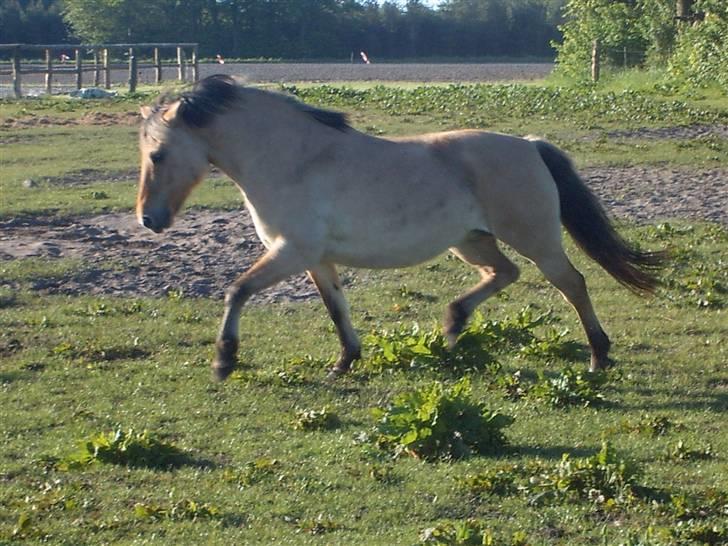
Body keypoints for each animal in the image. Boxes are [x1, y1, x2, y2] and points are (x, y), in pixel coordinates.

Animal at [136, 74, 663, 381]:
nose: (148, 219)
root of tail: (530, 145)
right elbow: (336, 309)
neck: (293, 160)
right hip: (471, 243)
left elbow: (237, 291)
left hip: (536, 240)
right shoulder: (316, 260)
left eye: (158, 155)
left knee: (572, 284)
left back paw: (598, 357)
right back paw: (452, 328)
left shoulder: (292, 252)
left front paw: (224, 361)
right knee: (504, 274)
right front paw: (344, 363)